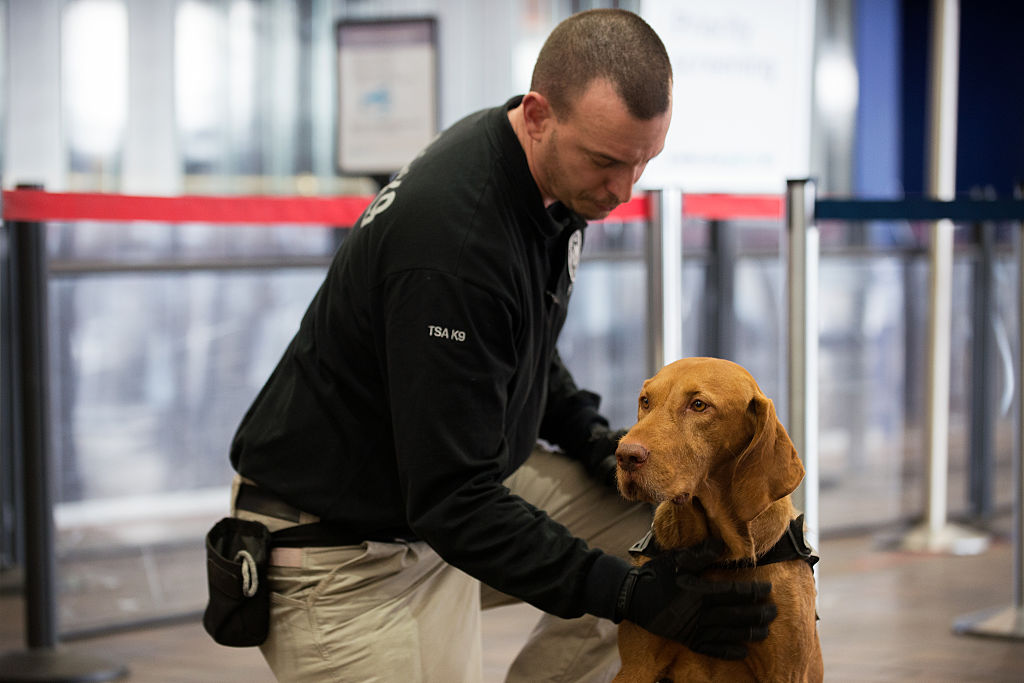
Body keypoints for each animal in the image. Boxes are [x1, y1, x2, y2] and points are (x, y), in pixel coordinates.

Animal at [610, 358, 819, 683]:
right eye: (645, 401)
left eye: (698, 405)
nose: (625, 456)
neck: (721, 556)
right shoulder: (636, 666)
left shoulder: (786, 672)